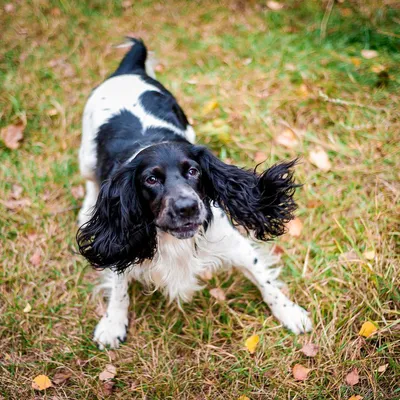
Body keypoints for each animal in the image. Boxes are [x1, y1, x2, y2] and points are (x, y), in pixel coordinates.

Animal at [76, 38, 312, 350]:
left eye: (193, 171)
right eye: (151, 179)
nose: (187, 207)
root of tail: (128, 70)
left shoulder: (235, 245)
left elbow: (265, 280)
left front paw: (290, 312)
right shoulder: (121, 242)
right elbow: (119, 287)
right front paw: (113, 323)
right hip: (86, 155)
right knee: (91, 182)